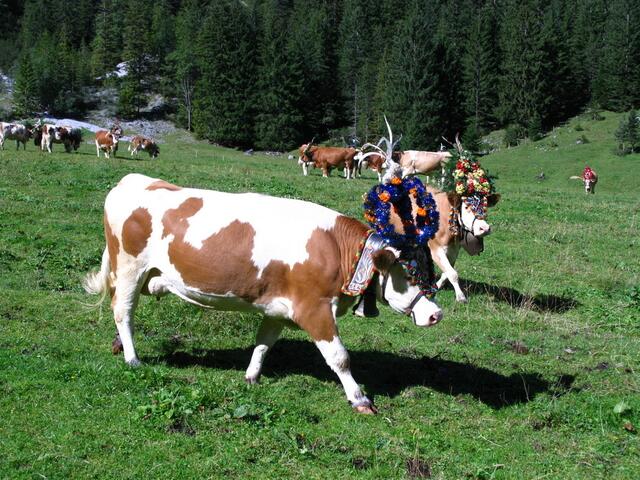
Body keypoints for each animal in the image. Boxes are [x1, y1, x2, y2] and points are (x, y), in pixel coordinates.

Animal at [84, 173, 443, 414]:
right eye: (408, 273)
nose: (435, 314)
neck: (336, 250)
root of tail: (132, 181)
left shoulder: (277, 309)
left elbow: (263, 343)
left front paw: (252, 376)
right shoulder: (314, 309)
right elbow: (339, 357)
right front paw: (359, 399)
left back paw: (119, 346)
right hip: (130, 268)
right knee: (123, 311)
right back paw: (132, 358)